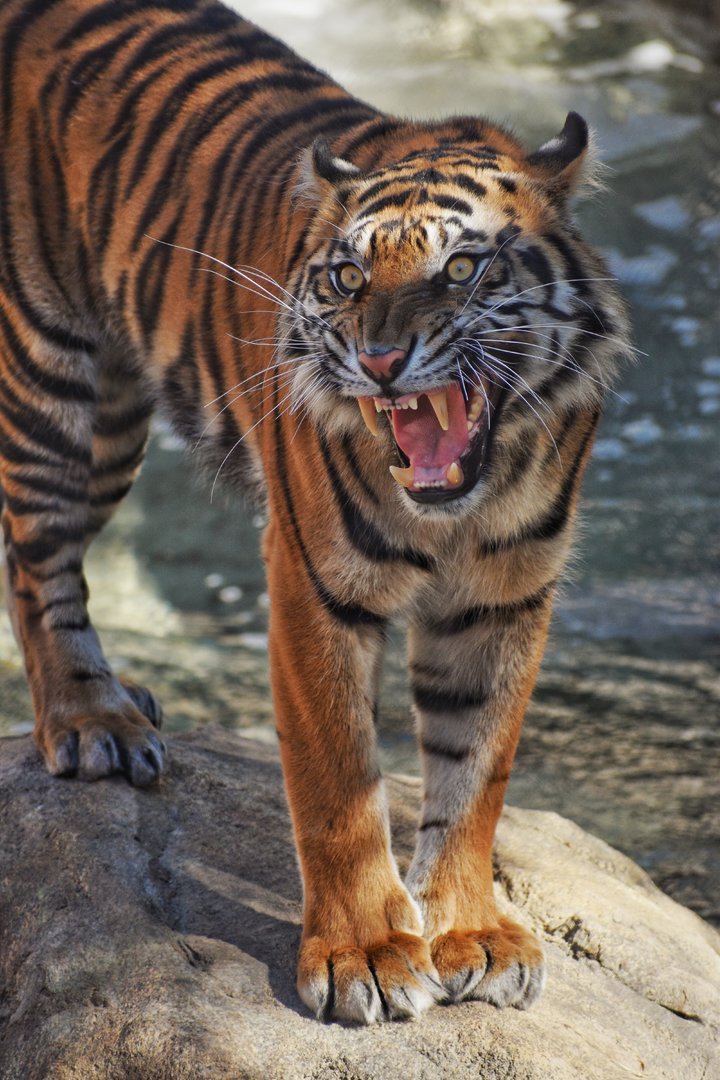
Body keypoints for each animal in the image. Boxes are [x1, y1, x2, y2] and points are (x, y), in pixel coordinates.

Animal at [0, 0, 629, 1025]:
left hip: (115, 426)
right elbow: (339, 781)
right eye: (346, 279)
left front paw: (472, 934)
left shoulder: (504, 595)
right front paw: (365, 954)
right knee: (35, 558)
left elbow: (476, 771)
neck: (456, 508)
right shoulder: (312, 582)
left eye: (463, 269)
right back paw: (93, 722)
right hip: (54, 374)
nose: (379, 361)